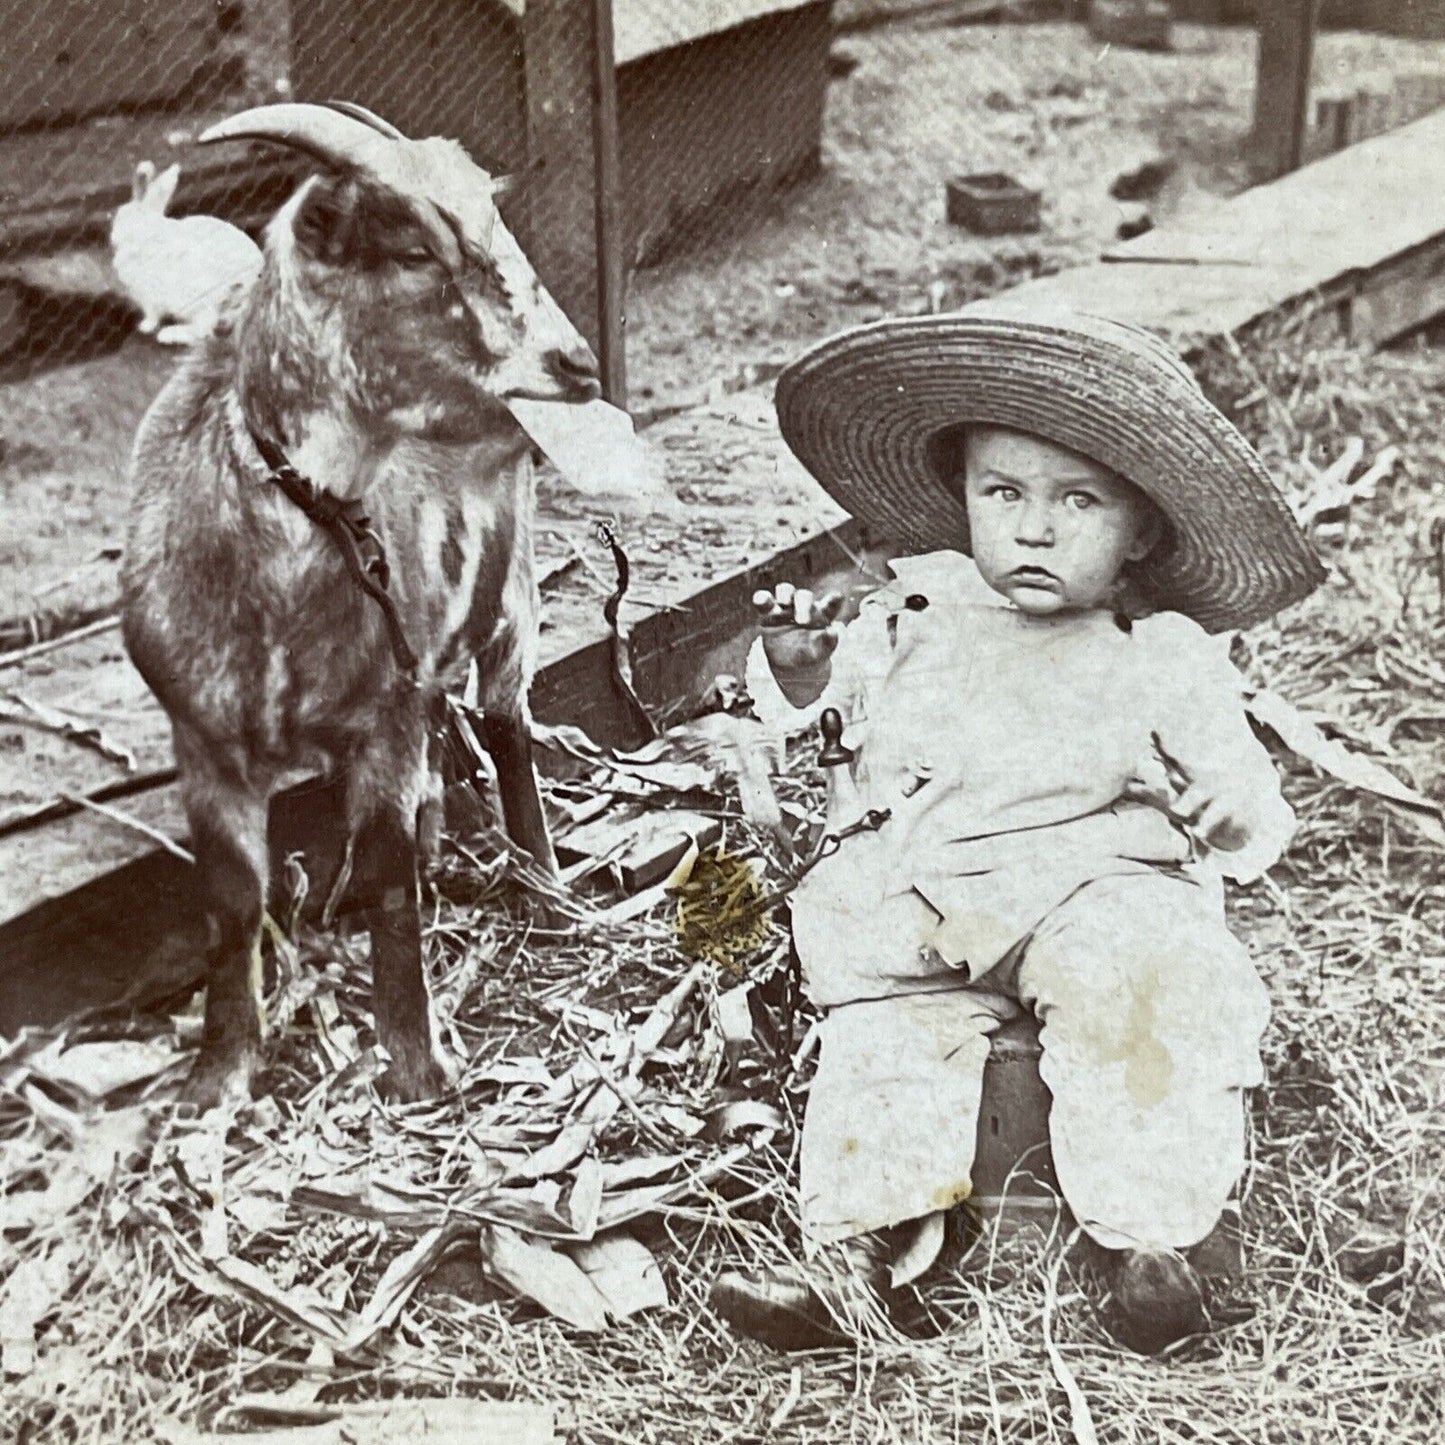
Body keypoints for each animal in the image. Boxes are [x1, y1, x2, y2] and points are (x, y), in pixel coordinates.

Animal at [117, 104, 604, 1103]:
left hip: (512, 597)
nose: (576, 362)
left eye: (491, 213)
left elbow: (385, 875)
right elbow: (233, 898)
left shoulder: (384, 716)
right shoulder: (203, 743)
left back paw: (542, 884)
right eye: (414, 248)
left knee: (507, 726)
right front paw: (221, 1070)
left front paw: (416, 1063)